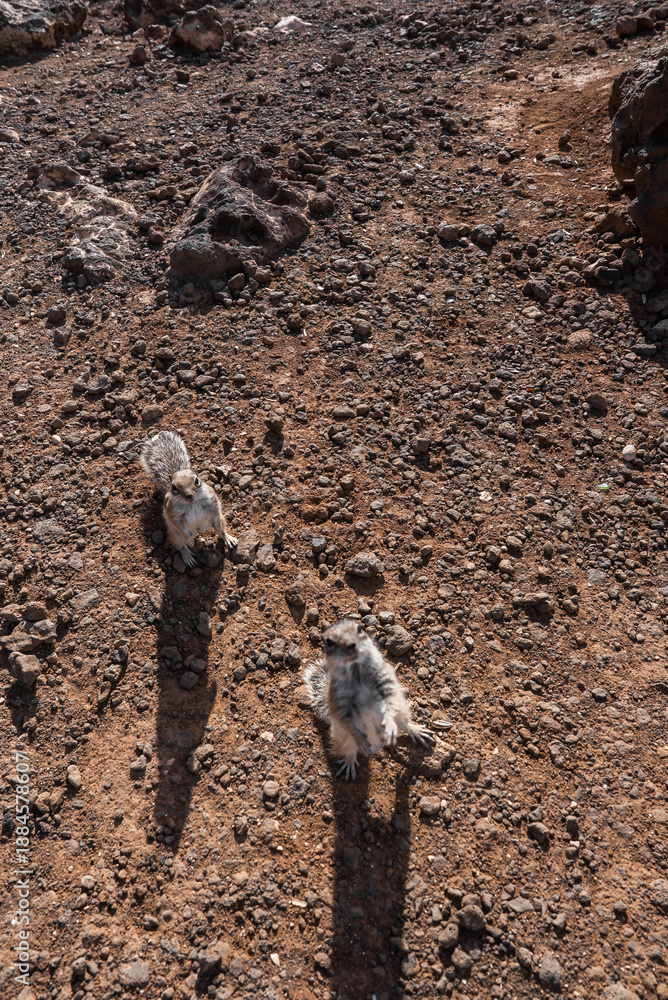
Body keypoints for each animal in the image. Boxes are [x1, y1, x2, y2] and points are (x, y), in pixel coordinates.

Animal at [140, 430, 237, 568]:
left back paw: (228, 538)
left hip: (222, 521)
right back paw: (187, 556)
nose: (189, 495)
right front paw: (190, 541)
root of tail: (199, 531)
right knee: (181, 545)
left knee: (221, 531)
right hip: (175, 534)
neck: (192, 503)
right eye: (174, 487)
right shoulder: (173, 512)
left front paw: (220, 529)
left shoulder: (211, 498)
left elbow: (216, 510)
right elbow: (178, 525)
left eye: (196, 480)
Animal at [303, 619, 435, 780]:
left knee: (404, 723)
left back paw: (416, 731)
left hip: (401, 712)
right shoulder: (339, 699)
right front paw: (359, 739)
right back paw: (349, 762)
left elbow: (390, 700)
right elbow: (346, 719)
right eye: (329, 641)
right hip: (343, 737)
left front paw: (390, 723)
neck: (356, 670)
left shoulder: (386, 681)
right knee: (349, 750)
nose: (351, 645)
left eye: (359, 629)